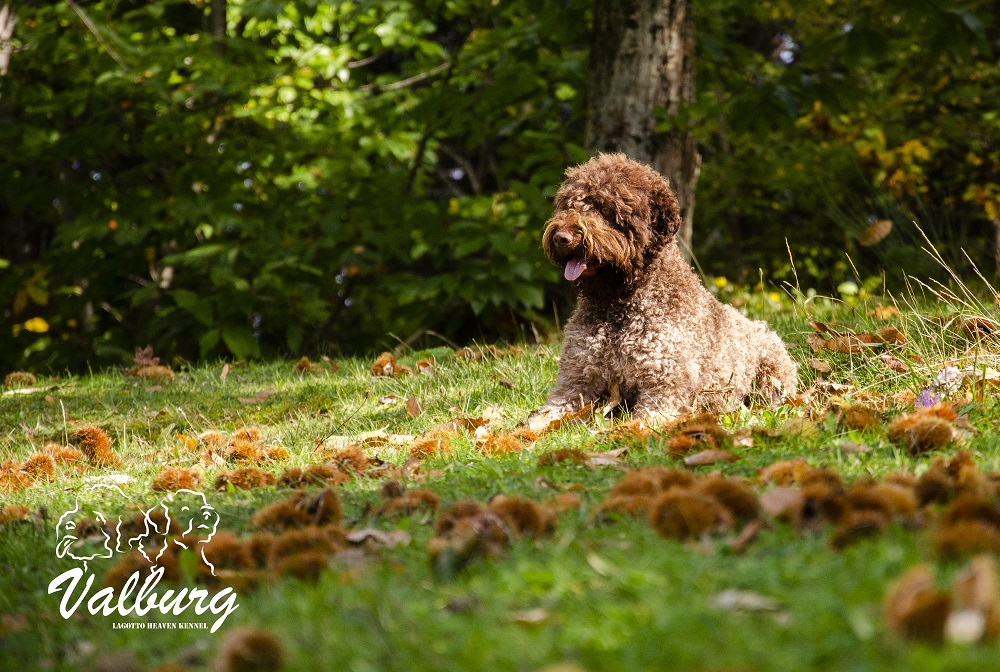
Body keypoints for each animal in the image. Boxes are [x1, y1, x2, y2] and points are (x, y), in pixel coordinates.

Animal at [532, 155, 796, 422]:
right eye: (567, 205)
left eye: (605, 208)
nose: (561, 237)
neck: (618, 306)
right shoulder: (576, 382)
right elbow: (542, 418)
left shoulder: (663, 387)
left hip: (772, 372)